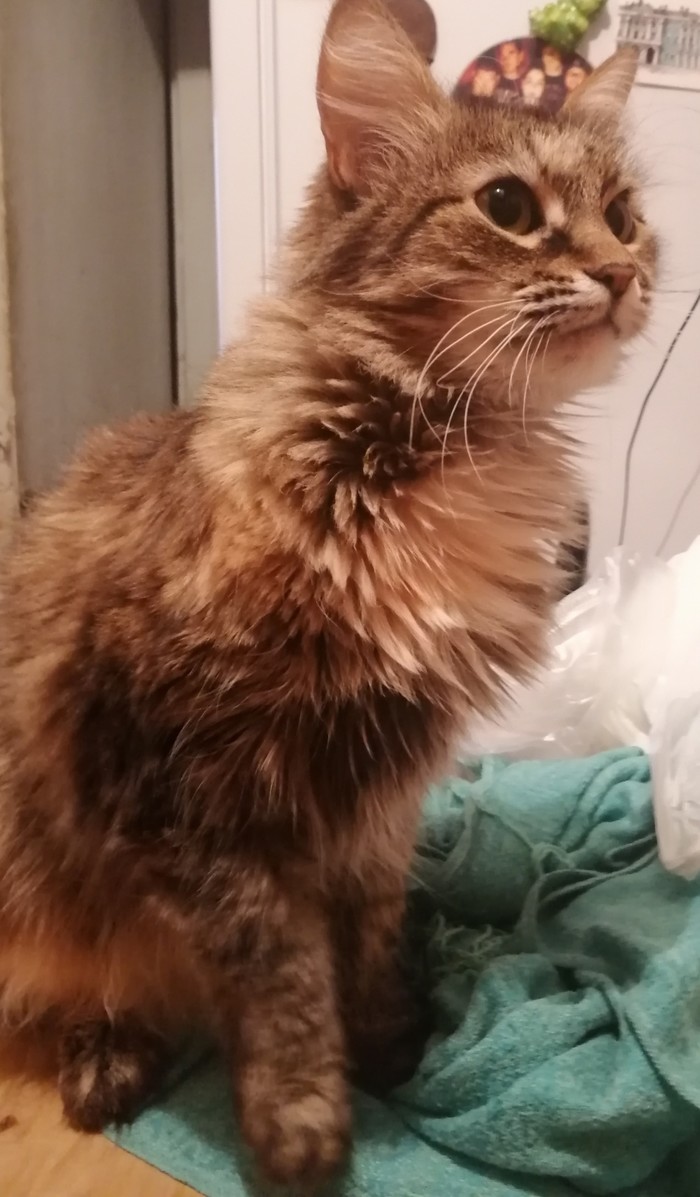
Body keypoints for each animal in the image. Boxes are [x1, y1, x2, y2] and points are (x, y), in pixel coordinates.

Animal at [0, 0, 655, 1188]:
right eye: (508, 207)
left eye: (625, 219)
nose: (624, 276)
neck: (440, 466)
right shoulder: (190, 785)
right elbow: (285, 976)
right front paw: (303, 1128)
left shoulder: (378, 794)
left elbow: (370, 938)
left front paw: (394, 1039)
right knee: (85, 977)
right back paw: (110, 1056)